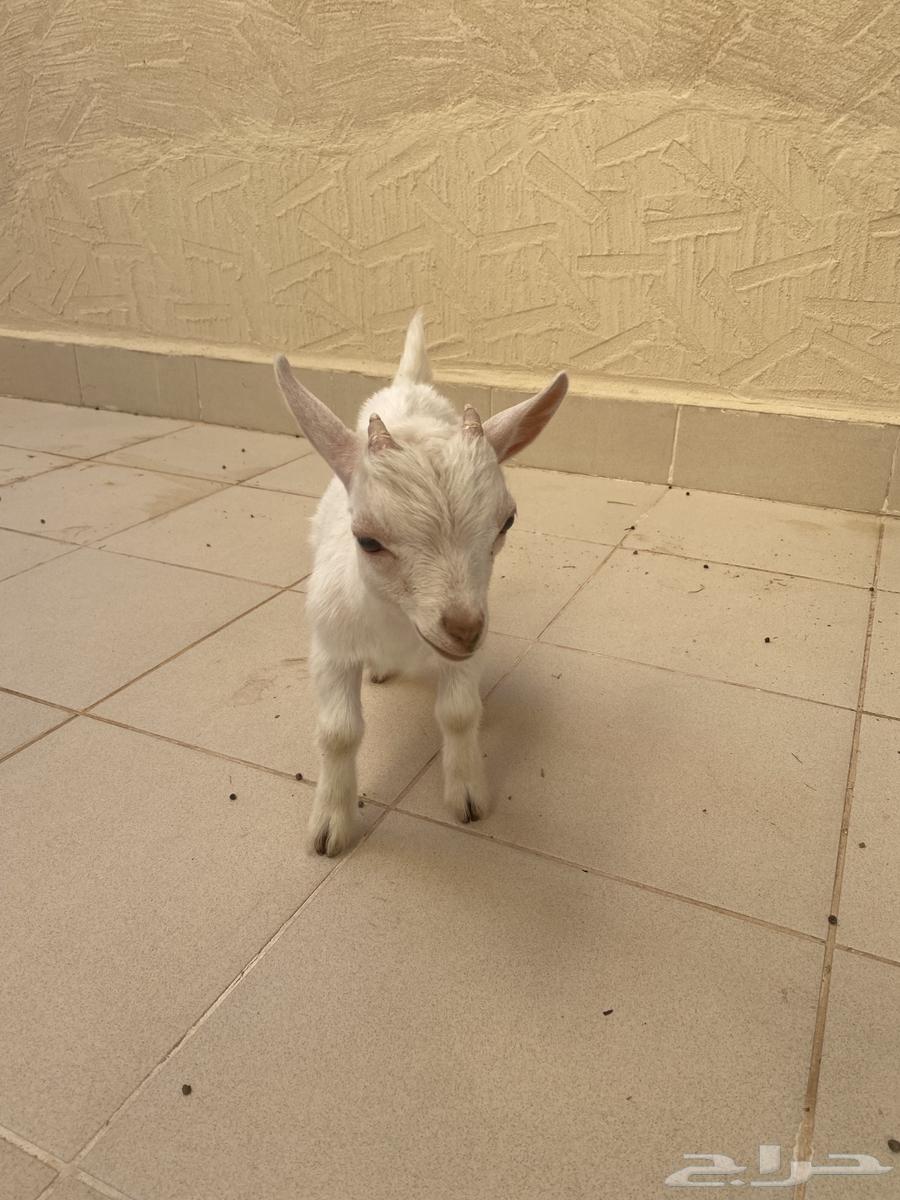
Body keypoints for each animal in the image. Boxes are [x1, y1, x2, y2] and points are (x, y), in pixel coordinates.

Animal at [274, 312, 568, 855]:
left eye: (507, 521)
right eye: (367, 540)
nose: (464, 629)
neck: (399, 623)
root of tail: (410, 385)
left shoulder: (465, 648)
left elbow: (459, 713)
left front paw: (467, 795)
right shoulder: (330, 645)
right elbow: (338, 732)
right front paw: (330, 825)